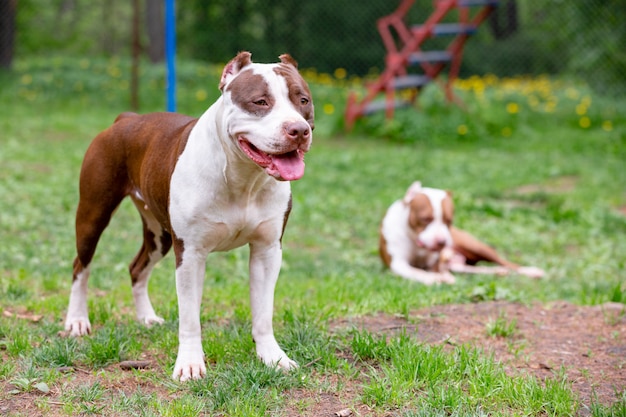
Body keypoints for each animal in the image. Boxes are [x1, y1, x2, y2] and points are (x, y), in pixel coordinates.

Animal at [64, 52, 312, 380]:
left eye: (303, 100)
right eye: (260, 102)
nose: (299, 130)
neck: (242, 177)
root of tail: (127, 118)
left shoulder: (267, 250)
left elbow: (263, 312)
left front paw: (273, 357)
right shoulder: (191, 254)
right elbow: (190, 318)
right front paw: (191, 365)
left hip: (160, 236)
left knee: (136, 268)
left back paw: (146, 317)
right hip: (93, 215)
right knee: (81, 265)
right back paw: (77, 320)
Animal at [378, 180, 544, 284]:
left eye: (449, 220)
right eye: (425, 219)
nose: (442, 242)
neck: (415, 240)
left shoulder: (435, 261)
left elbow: (434, 269)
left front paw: (441, 277)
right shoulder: (397, 263)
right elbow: (414, 272)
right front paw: (433, 279)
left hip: (476, 247)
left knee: (506, 262)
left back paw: (531, 271)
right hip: (460, 264)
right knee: (472, 269)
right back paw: (496, 271)